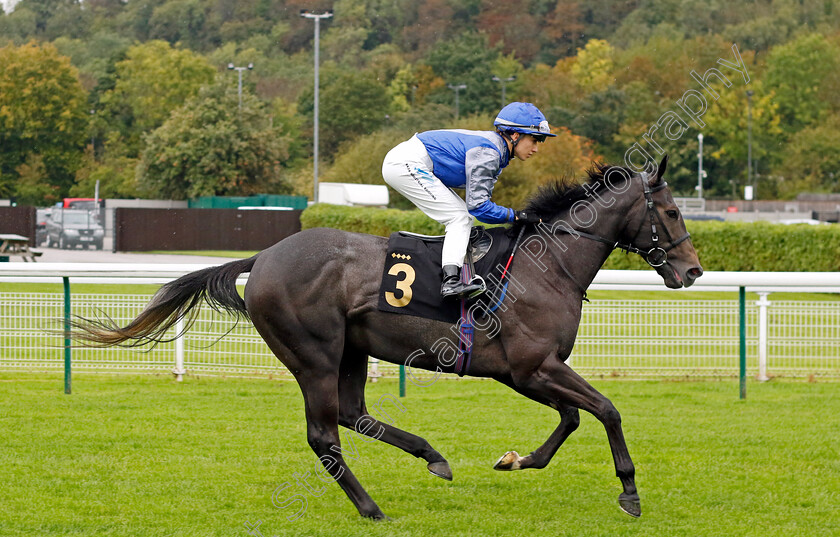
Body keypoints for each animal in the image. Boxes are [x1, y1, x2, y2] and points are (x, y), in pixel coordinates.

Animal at [70, 155, 704, 520]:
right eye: (673, 213)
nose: (694, 270)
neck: (547, 265)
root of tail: (265, 255)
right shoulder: (531, 368)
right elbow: (607, 409)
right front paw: (629, 492)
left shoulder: (527, 372)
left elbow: (573, 418)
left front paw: (516, 460)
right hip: (315, 355)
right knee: (325, 435)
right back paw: (371, 508)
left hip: (351, 350)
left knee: (354, 415)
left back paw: (433, 457)